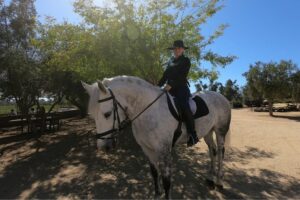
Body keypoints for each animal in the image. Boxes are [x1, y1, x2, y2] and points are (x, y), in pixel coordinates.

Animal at [82, 76, 232, 199]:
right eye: (92, 116)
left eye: (107, 114)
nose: (103, 147)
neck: (148, 110)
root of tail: (221, 96)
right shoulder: (147, 149)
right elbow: (154, 173)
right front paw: (156, 193)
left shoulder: (163, 150)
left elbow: (167, 181)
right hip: (208, 132)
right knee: (212, 151)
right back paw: (210, 179)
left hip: (220, 131)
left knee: (220, 153)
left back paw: (219, 182)